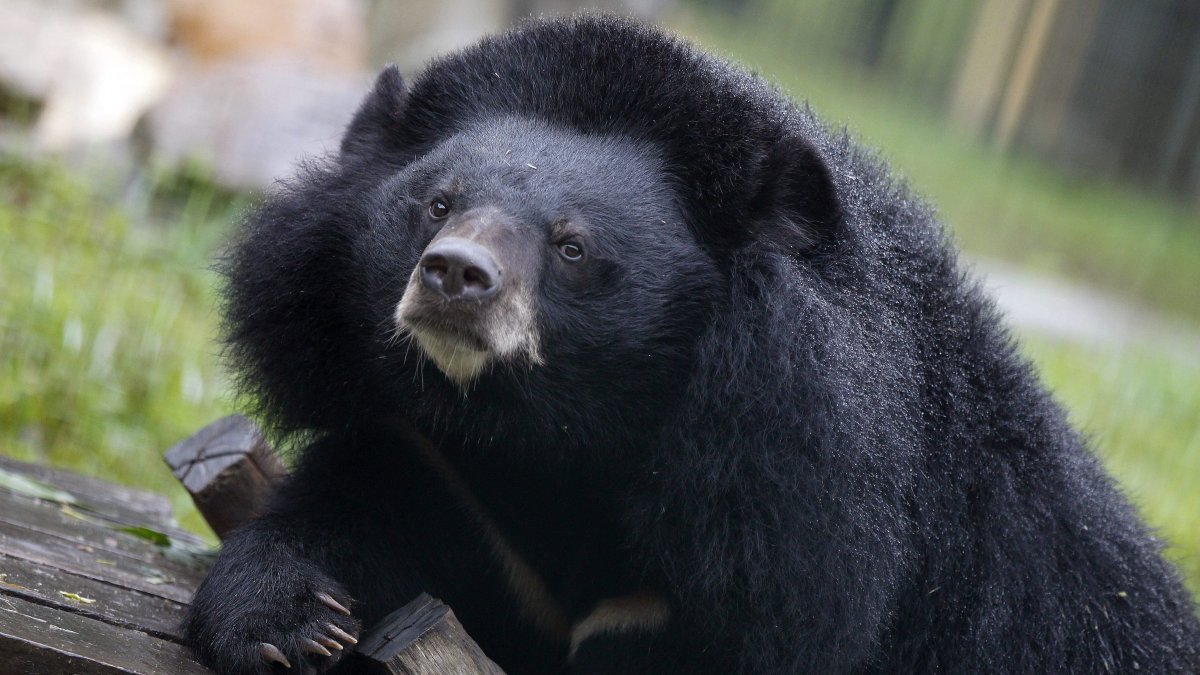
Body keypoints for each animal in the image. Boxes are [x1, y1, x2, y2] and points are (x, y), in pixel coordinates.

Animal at [184, 15, 1200, 675]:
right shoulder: (452, 476)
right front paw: (287, 620)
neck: (560, 443)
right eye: (435, 203)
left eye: (573, 245)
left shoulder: (793, 537)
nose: (454, 275)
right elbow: (356, 509)